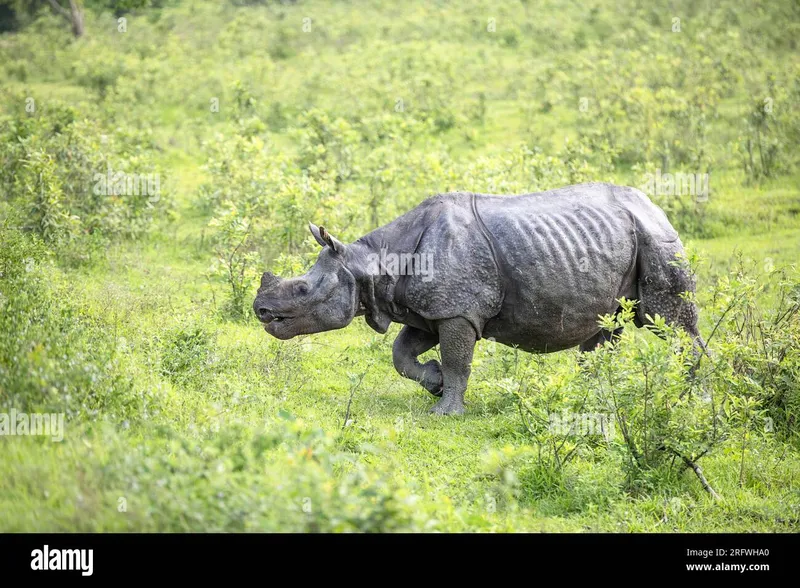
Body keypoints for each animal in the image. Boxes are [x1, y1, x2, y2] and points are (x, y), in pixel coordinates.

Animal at [253, 181, 704, 416]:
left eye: (303, 289)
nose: (260, 310)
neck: (373, 262)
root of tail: (656, 206)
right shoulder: (428, 310)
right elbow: (401, 354)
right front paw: (433, 382)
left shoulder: (457, 311)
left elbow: (458, 360)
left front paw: (445, 412)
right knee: (605, 328)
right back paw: (588, 398)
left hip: (656, 239)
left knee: (669, 322)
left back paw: (688, 400)